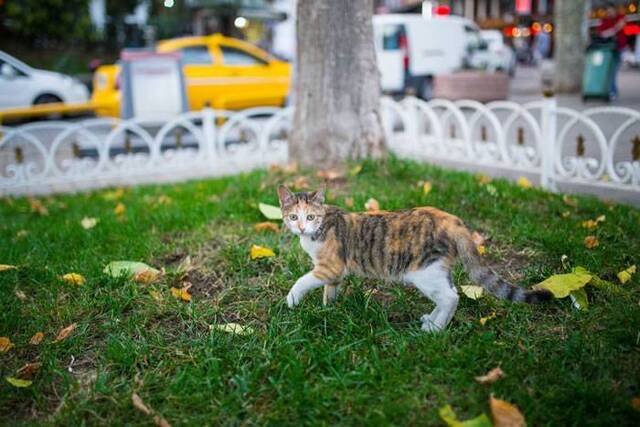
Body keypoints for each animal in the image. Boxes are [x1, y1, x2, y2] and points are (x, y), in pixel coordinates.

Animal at [278, 186, 552, 332]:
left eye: (310, 217)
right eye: (293, 217)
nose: (301, 227)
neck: (319, 229)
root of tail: (450, 218)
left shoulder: (330, 267)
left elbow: (303, 281)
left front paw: (292, 300)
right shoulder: (334, 273)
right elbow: (330, 290)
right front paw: (329, 309)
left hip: (424, 272)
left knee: (451, 297)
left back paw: (435, 331)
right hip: (438, 270)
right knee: (451, 293)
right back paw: (432, 320)